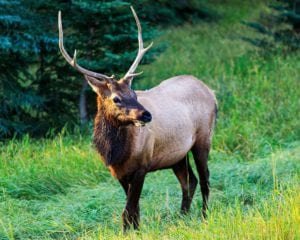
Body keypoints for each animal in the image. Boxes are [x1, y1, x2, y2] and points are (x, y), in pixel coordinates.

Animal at [58, 7, 217, 232]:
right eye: (116, 98)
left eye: (134, 93)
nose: (147, 115)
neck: (115, 152)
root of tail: (211, 92)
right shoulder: (119, 172)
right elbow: (134, 209)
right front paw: (136, 229)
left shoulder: (142, 165)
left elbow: (129, 209)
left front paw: (130, 231)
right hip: (177, 154)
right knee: (189, 181)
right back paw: (182, 217)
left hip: (204, 138)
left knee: (205, 179)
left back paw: (204, 216)